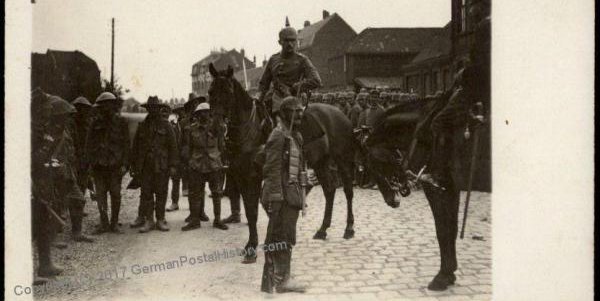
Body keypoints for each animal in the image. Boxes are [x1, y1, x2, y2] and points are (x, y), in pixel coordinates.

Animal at [207, 63, 404, 262]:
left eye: (228, 91)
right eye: (210, 92)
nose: (216, 127)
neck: (250, 129)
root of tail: (341, 115)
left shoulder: (253, 177)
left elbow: (254, 211)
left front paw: (253, 248)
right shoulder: (241, 177)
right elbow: (251, 210)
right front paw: (255, 244)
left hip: (343, 160)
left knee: (348, 191)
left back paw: (349, 228)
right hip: (320, 163)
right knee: (329, 190)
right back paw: (322, 230)